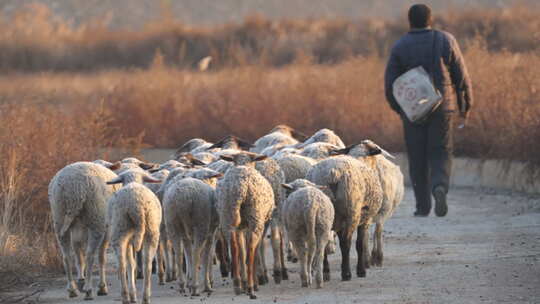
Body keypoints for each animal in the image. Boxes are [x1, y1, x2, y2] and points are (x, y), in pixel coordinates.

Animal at [48, 162, 120, 300]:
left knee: (66, 256)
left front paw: (81, 279)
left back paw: (72, 289)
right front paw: (101, 287)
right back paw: (88, 290)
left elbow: (78, 256)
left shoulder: (76, 230)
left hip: (59, 218)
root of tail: (74, 187)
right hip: (95, 218)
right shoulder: (107, 229)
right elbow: (101, 257)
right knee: (90, 255)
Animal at [105, 169, 162, 304]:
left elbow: (131, 264)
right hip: (151, 231)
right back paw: (145, 297)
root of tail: (137, 205)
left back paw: (126, 297)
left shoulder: (128, 241)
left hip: (119, 231)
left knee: (122, 265)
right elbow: (133, 264)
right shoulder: (131, 241)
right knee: (147, 266)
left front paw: (133, 295)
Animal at [162, 167, 221, 296]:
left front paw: (189, 280)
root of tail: (184, 196)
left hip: (172, 223)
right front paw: (207, 283)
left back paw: (182, 284)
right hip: (201, 222)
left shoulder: (188, 235)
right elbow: (207, 256)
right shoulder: (211, 233)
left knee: (179, 253)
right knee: (196, 253)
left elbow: (187, 254)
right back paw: (196, 287)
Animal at [215, 153, 274, 298]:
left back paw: (238, 284)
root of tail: (241, 187)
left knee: (235, 248)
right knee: (251, 250)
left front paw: (243, 280)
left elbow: (241, 251)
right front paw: (253, 281)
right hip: (255, 217)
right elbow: (255, 250)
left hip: (229, 215)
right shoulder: (259, 225)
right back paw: (251, 287)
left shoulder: (241, 228)